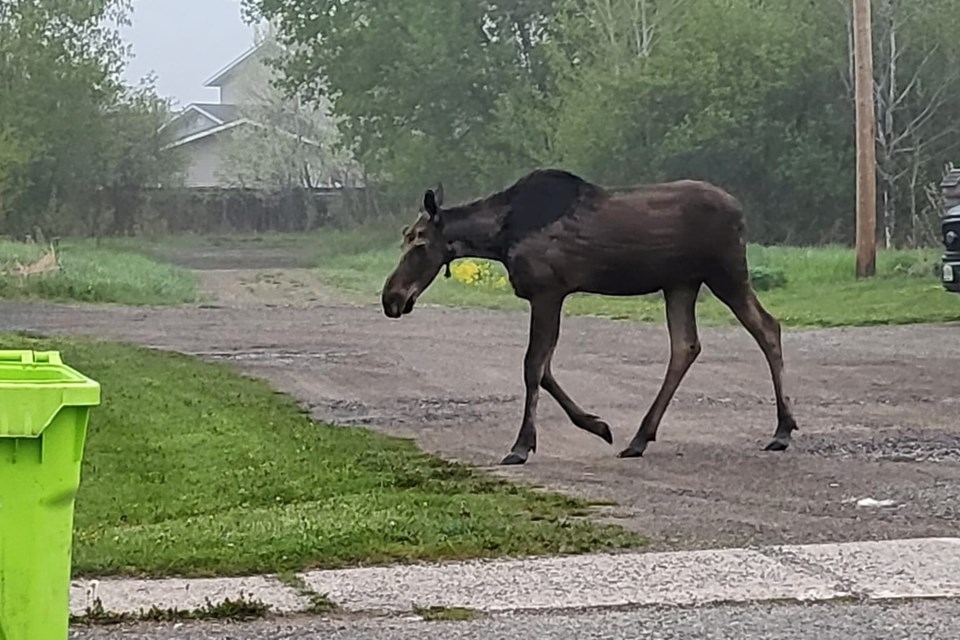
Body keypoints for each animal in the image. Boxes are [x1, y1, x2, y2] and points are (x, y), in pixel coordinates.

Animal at [378, 168, 800, 462]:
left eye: (419, 242)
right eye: (404, 236)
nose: (391, 298)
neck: (498, 238)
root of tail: (741, 211)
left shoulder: (547, 292)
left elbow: (532, 367)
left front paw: (521, 446)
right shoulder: (553, 295)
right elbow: (545, 369)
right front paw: (598, 426)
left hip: (725, 273)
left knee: (767, 327)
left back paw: (782, 430)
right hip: (681, 283)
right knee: (686, 346)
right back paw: (639, 438)